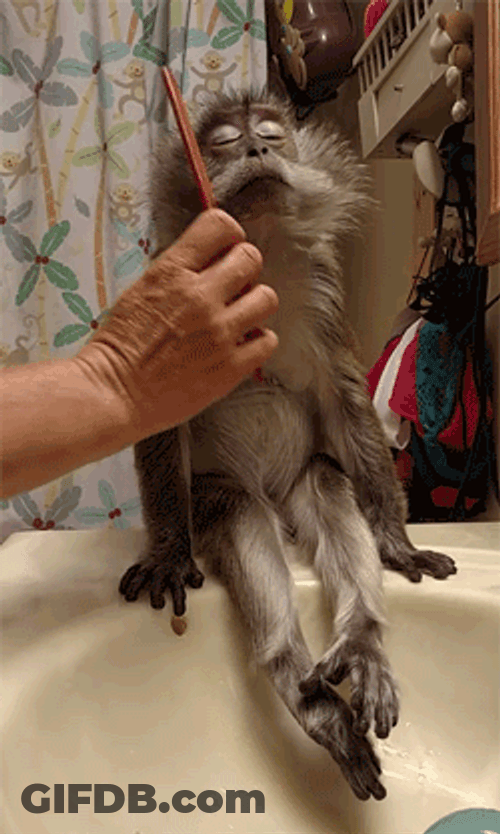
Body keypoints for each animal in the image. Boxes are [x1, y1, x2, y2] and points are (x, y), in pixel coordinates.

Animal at [118, 90, 457, 802]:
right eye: (222, 142)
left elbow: (345, 402)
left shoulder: (324, 294)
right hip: (229, 496)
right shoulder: (169, 291)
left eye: (271, 134)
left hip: (300, 481)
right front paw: (166, 553)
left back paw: (362, 640)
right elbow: (159, 408)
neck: (259, 255)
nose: (255, 149)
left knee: (327, 480)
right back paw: (304, 690)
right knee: (239, 511)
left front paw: (395, 541)